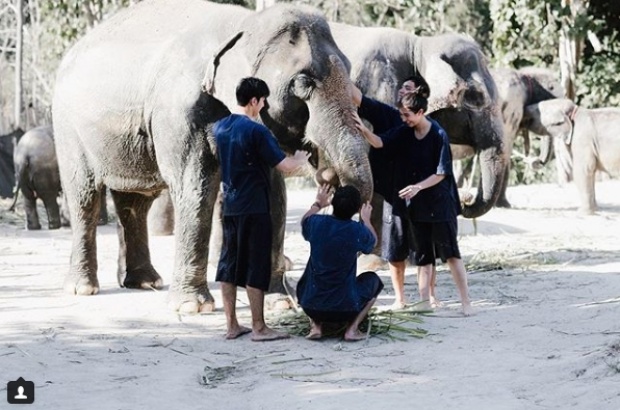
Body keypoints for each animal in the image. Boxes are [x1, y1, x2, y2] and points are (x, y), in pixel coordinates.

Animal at [50, 0, 370, 314]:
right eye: (302, 83)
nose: (327, 176)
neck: (244, 25)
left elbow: (274, 194)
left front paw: (279, 303)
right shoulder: (180, 112)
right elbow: (197, 186)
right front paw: (192, 307)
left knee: (135, 202)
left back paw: (144, 282)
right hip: (67, 129)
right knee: (85, 197)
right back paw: (83, 288)